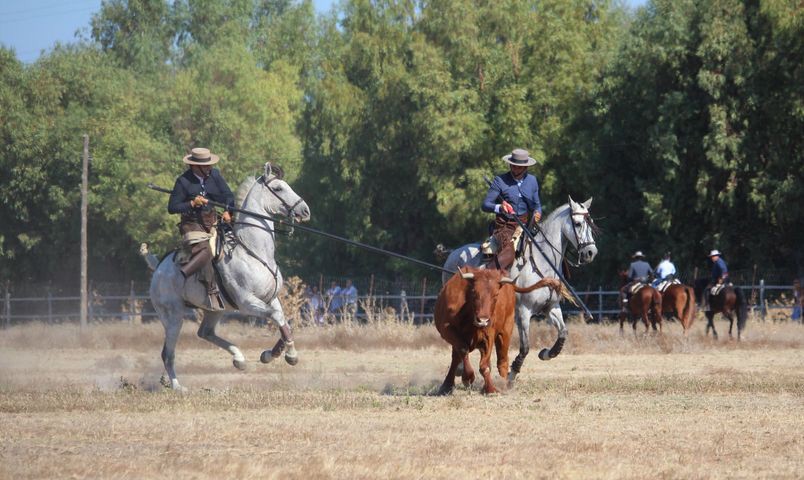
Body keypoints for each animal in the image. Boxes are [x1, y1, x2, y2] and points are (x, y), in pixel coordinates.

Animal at [150, 163, 311, 391]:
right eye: (278, 188)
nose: (304, 210)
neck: (254, 252)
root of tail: (158, 269)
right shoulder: (247, 303)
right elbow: (277, 317)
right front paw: (290, 355)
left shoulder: (271, 298)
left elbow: (284, 320)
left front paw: (270, 354)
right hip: (173, 317)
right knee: (168, 354)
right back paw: (177, 386)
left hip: (215, 309)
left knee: (205, 332)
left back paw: (239, 359)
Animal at [442, 197, 598, 387]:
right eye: (577, 223)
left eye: (590, 223)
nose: (590, 252)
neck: (541, 263)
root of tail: (452, 254)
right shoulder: (524, 311)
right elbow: (525, 347)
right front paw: (511, 374)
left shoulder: (551, 307)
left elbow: (562, 333)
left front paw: (546, 353)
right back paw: (460, 370)